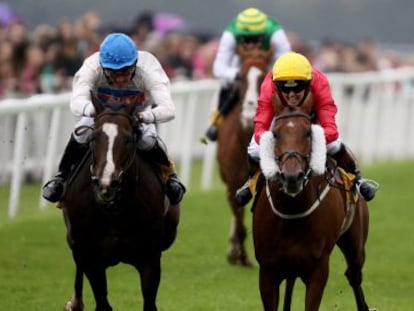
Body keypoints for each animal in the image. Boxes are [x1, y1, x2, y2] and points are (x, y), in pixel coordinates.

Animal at [58, 95, 180, 311]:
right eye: (93, 139)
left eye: (128, 140)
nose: (107, 183)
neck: (114, 210)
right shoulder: (92, 259)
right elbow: (102, 303)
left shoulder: (150, 258)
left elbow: (149, 303)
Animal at [213, 47, 274, 266]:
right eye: (240, 77)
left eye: (265, 75)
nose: (249, 116)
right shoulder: (232, 183)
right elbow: (239, 219)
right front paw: (241, 256)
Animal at [252, 110, 376, 311]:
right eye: (276, 134)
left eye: (308, 133)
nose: (292, 176)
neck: (292, 213)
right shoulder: (268, 270)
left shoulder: (318, 269)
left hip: (355, 243)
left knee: (354, 274)